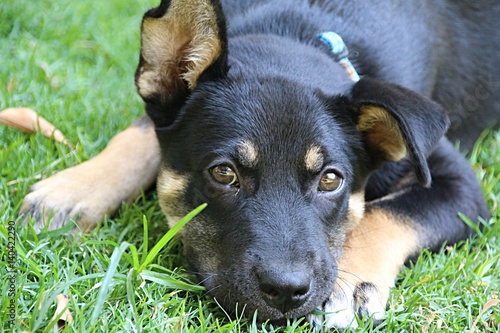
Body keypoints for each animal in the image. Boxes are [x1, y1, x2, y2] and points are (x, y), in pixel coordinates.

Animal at [23, 0, 500, 328]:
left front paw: (350, 284)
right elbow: (139, 133)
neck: (296, 33)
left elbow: (387, 215)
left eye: (331, 180)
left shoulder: (456, 181)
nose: (285, 293)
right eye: (223, 173)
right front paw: (72, 191)